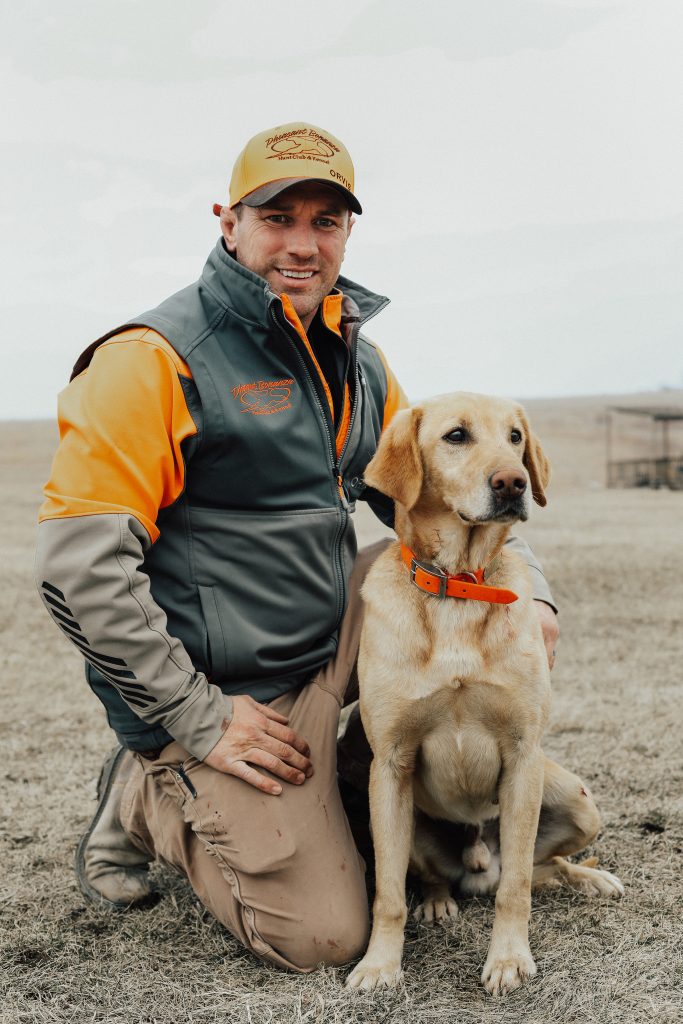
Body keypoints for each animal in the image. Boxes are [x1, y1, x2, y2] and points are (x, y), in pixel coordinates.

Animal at [350, 389, 622, 991]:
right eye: (457, 435)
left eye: (515, 437)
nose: (513, 482)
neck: (459, 587)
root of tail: (477, 864)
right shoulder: (391, 765)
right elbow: (387, 895)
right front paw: (379, 965)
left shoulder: (522, 757)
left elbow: (516, 888)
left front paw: (508, 958)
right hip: (409, 822)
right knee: (431, 877)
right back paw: (437, 901)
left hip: (576, 800)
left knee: (541, 869)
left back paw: (591, 879)